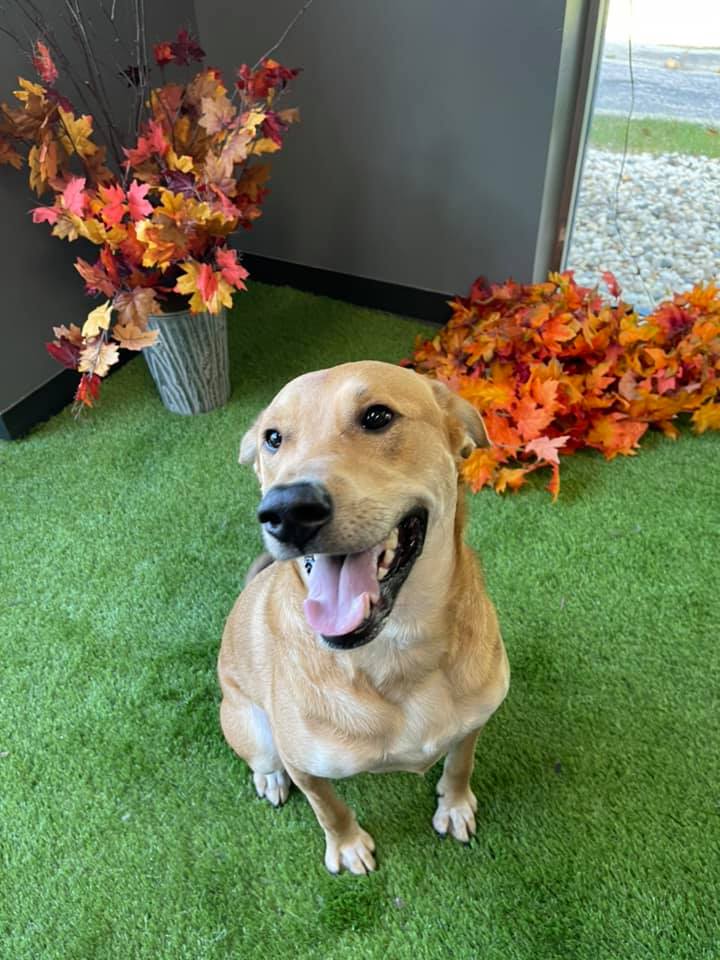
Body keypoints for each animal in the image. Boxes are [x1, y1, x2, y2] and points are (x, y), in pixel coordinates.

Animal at [218, 360, 509, 874]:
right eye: (273, 437)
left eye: (377, 416)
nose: (286, 510)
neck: (398, 652)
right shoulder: (304, 764)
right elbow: (329, 808)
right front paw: (348, 846)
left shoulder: (476, 719)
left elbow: (460, 763)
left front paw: (454, 805)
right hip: (250, 726)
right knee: (264, 760)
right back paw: (270, 778)